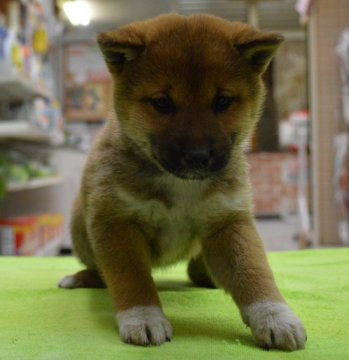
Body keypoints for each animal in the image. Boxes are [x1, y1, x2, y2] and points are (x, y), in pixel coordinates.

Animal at [59, 14, 304, 352]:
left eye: (223, 101)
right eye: (162, 103)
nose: (198, 157)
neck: (180, 185)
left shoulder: (228, 221)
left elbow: (252, 270)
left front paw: (274, 315)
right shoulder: (116, 222)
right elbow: (131, 277)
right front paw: (143, 316)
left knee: (197, 269)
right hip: (80, 226)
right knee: (100, 268)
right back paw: (83, 278)